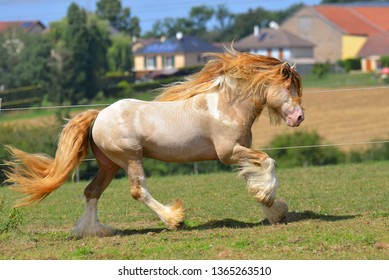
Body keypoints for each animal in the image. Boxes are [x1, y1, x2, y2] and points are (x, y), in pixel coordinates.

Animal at [3, 49, 304, 237]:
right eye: (289, 88)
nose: (299, 117)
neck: (227, 106)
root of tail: (99, 115)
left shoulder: (239, 153)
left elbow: (253, 179)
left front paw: (274, 211)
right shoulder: (229, 153)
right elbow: (268, 162)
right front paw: (271, 201)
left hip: (109, 165)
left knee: (91, 192)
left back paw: (93, 232)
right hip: (130, 158)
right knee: (138, 191)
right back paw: (174, 220)